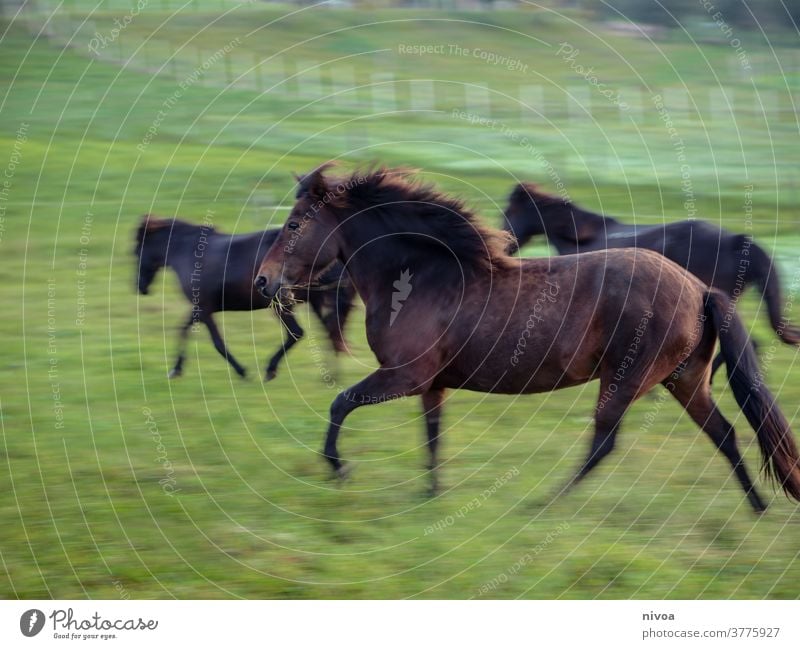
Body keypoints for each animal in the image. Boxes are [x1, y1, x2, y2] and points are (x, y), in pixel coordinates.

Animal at [134, 216, 354, 380]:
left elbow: (216, 342)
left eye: (136, 252)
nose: (139, 287)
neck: (188, 252)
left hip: (282, 305)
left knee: (298, 333)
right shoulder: (201, 308)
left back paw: (271, 370)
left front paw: (242, 372)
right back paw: (331, 376)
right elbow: (183, 329)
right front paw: (176, 369)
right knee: (331, 332)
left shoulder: (204, 308)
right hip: (314, 302)